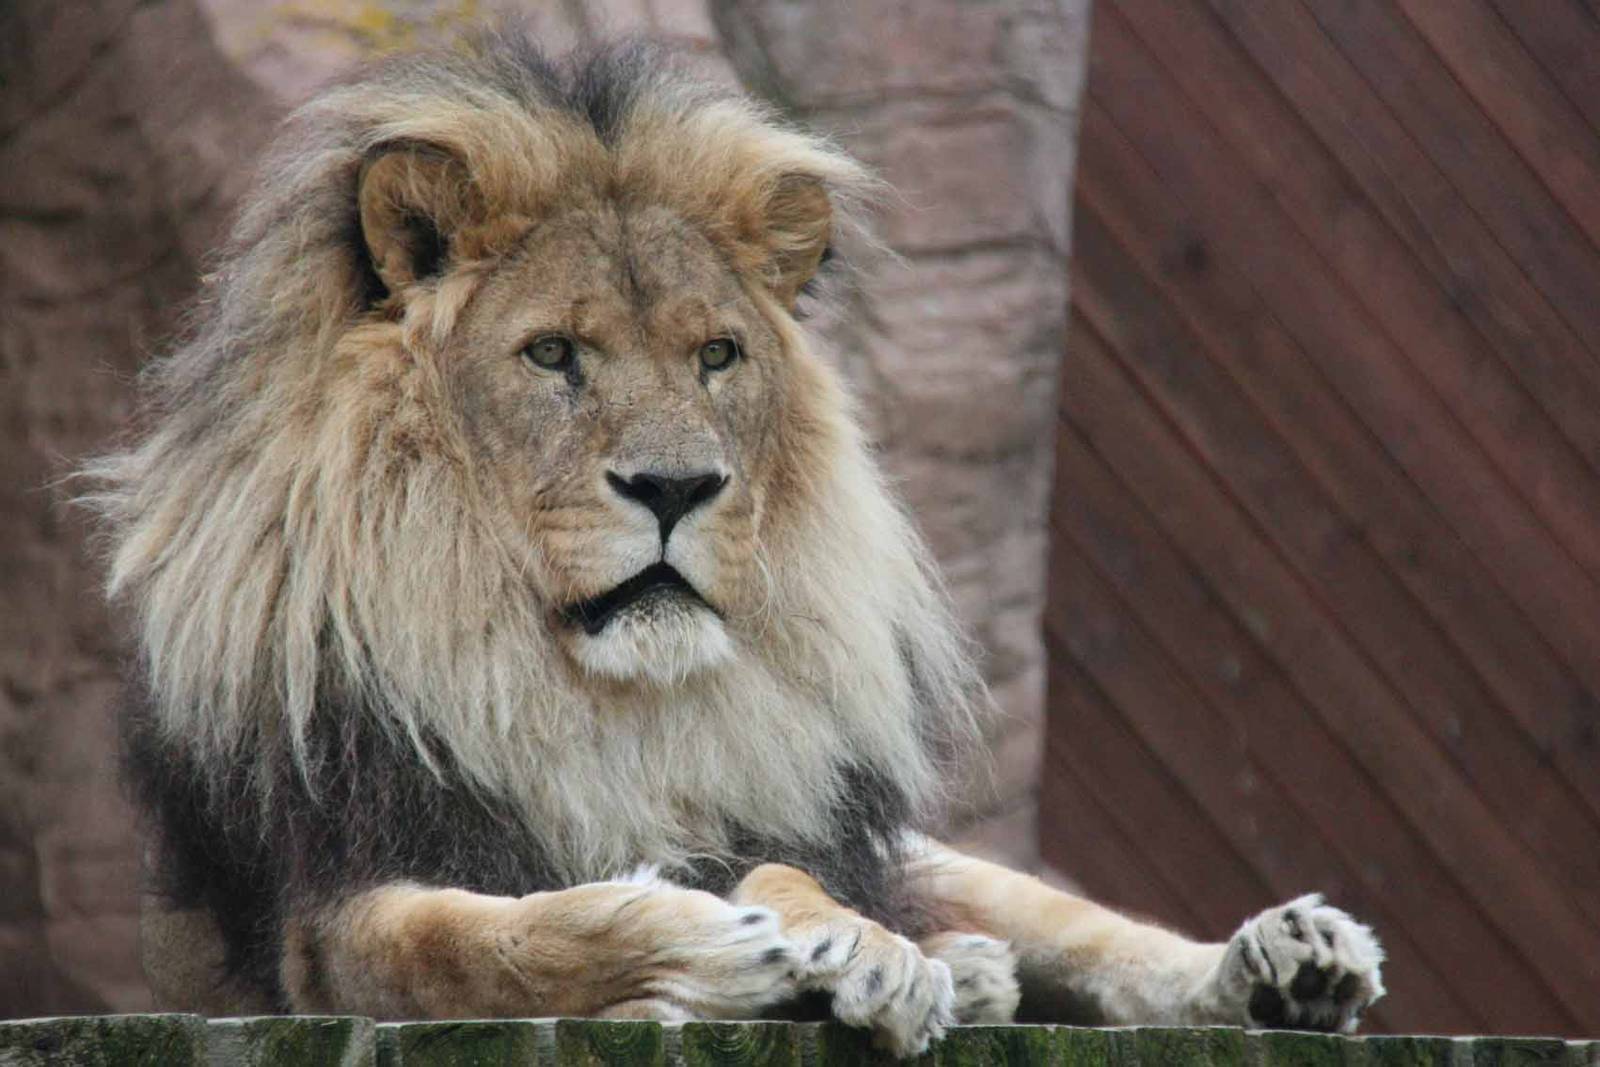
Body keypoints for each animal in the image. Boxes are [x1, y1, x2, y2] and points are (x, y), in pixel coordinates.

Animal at [83, 32, 1384, 1055]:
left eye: (716, 355)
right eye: (552, 355)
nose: (675, 485)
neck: (605, 700)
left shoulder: (777, 814)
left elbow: (793, 874)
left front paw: (855, 945)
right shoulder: (327, 922)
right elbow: (501, 935)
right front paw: (712, 950)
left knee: (1081, 929)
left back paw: (1281, 955)